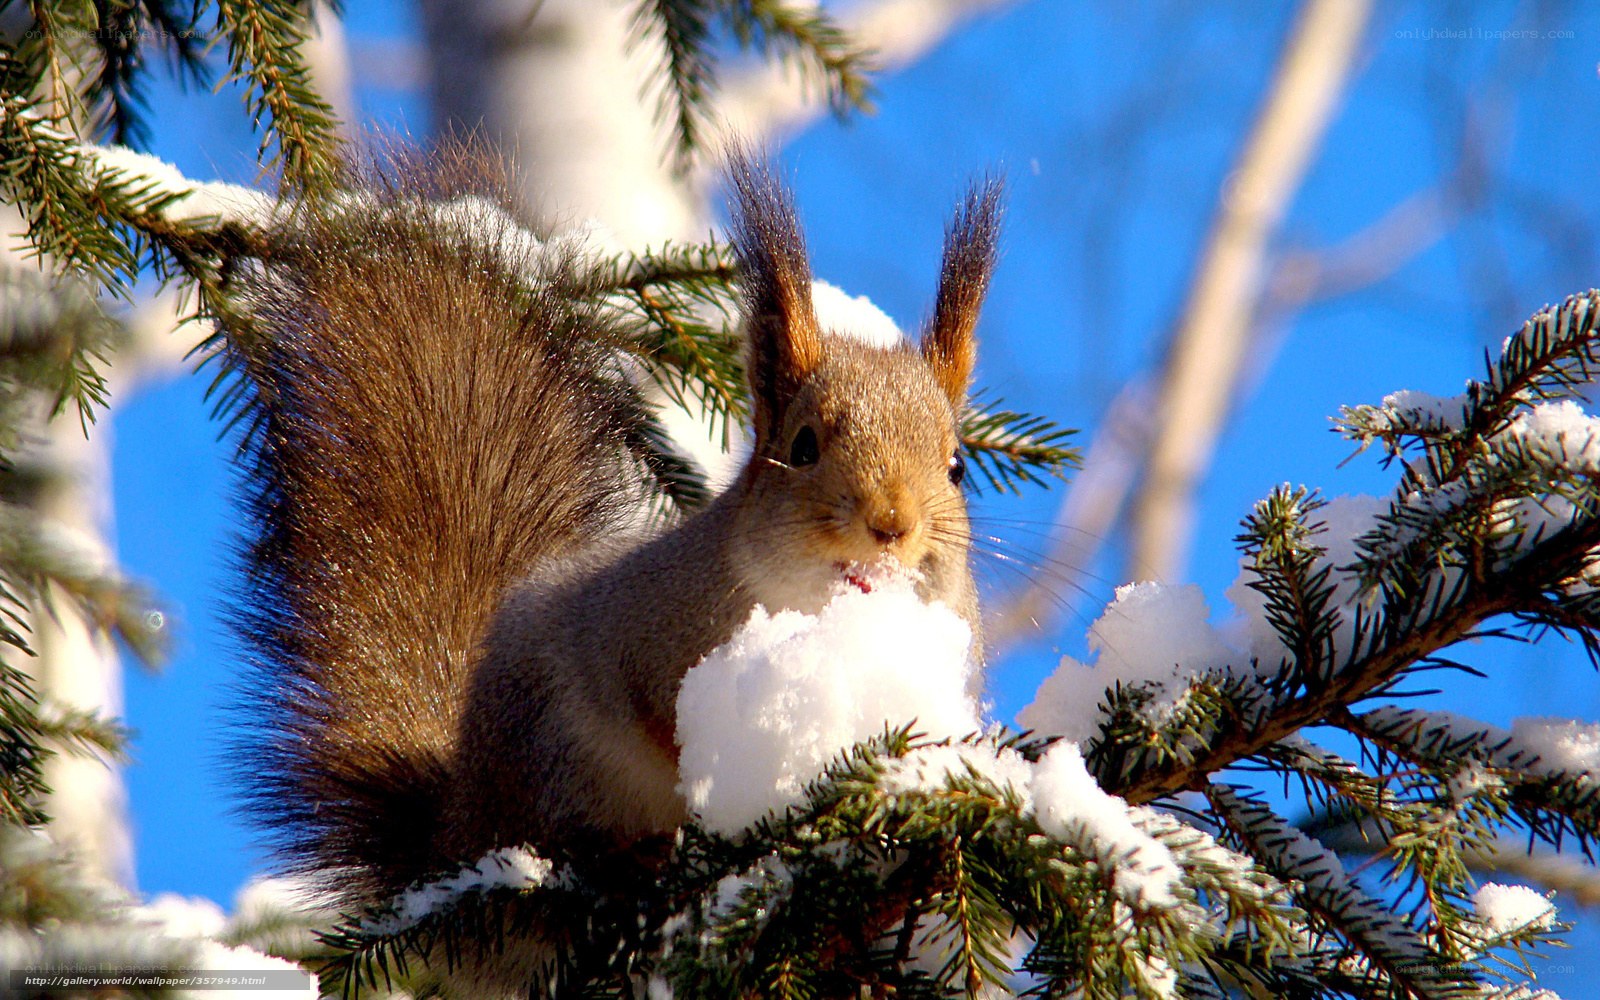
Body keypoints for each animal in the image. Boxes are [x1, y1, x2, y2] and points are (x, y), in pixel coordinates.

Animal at [230, 146, 1002, 925]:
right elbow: (658, 721)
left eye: (956, 466)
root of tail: (457, 827)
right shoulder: (642, 635)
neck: (823, 612)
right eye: (804, 445)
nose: (891, 524)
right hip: (554, 761)